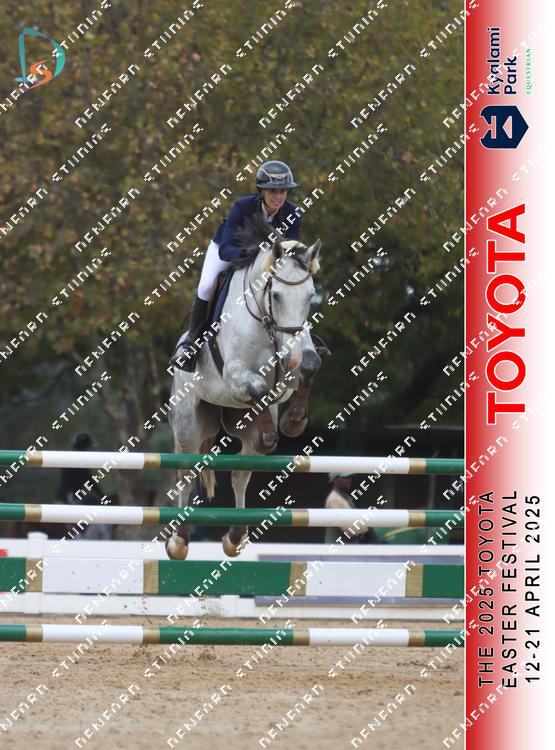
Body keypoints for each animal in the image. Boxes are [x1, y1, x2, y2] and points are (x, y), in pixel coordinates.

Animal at [166, 217, 323, 560]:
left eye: (310, 295)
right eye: (276, 295)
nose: (290, 355)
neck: (266, 320)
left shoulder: (293, 365)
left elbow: (309, 365)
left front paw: (294, 421)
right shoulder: (235, 375)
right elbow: (258, 384)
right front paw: (276, 427)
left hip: (236, 426)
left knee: (241, 471)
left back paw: (236, 535)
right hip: (188, 423)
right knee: (185, 473)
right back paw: (178, 540)